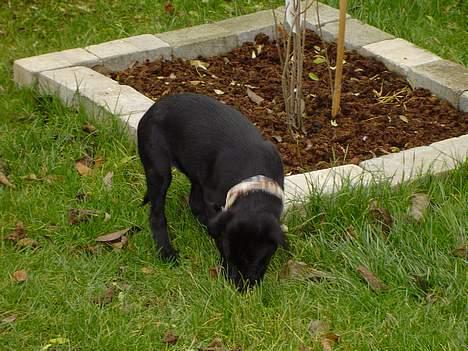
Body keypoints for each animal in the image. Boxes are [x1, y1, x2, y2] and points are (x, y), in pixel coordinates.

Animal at [137, 93, 286, 288]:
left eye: (258, 261)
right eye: (228, 256)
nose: (238, 288)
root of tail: (151, 110)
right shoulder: (212, 198)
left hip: (194, 168)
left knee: (193, 201)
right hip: (159, 170)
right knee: (157, 214)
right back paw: (166, 252)